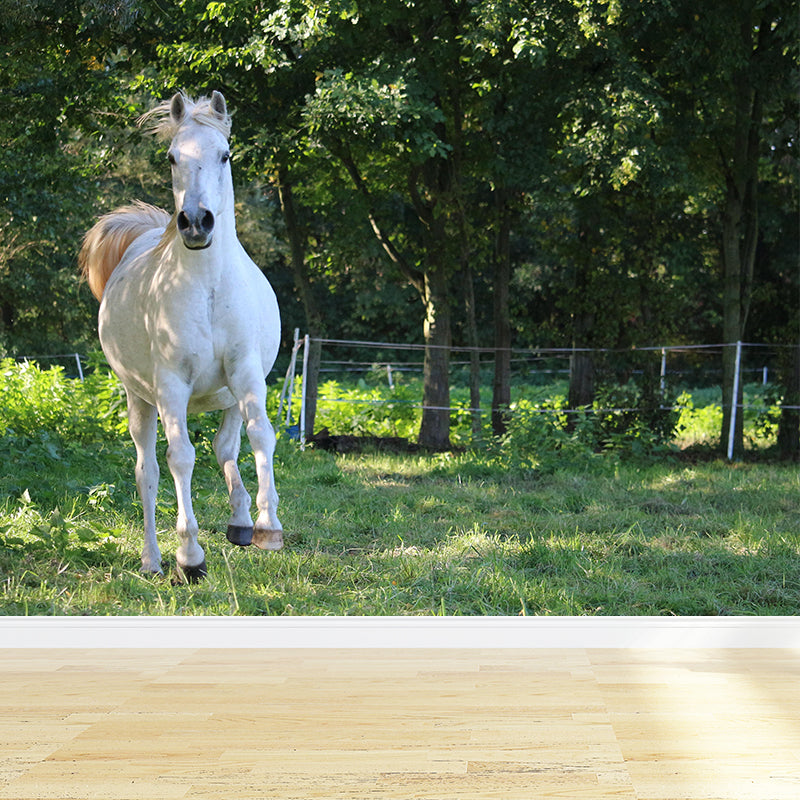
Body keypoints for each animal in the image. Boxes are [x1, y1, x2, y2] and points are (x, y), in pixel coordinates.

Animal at [79, 91, 283, 582]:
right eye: (172, 157)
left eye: (225, 154)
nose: (195, 222)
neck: (207, 287)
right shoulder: (172, 385)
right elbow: (181, 459)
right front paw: (189, 556)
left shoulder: (246, 372)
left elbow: (260, 436)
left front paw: (268, 526)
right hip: (140, 400)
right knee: (149, 472)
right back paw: (153, 559)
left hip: (226, 396)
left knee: (227, 447)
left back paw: (241, 521)